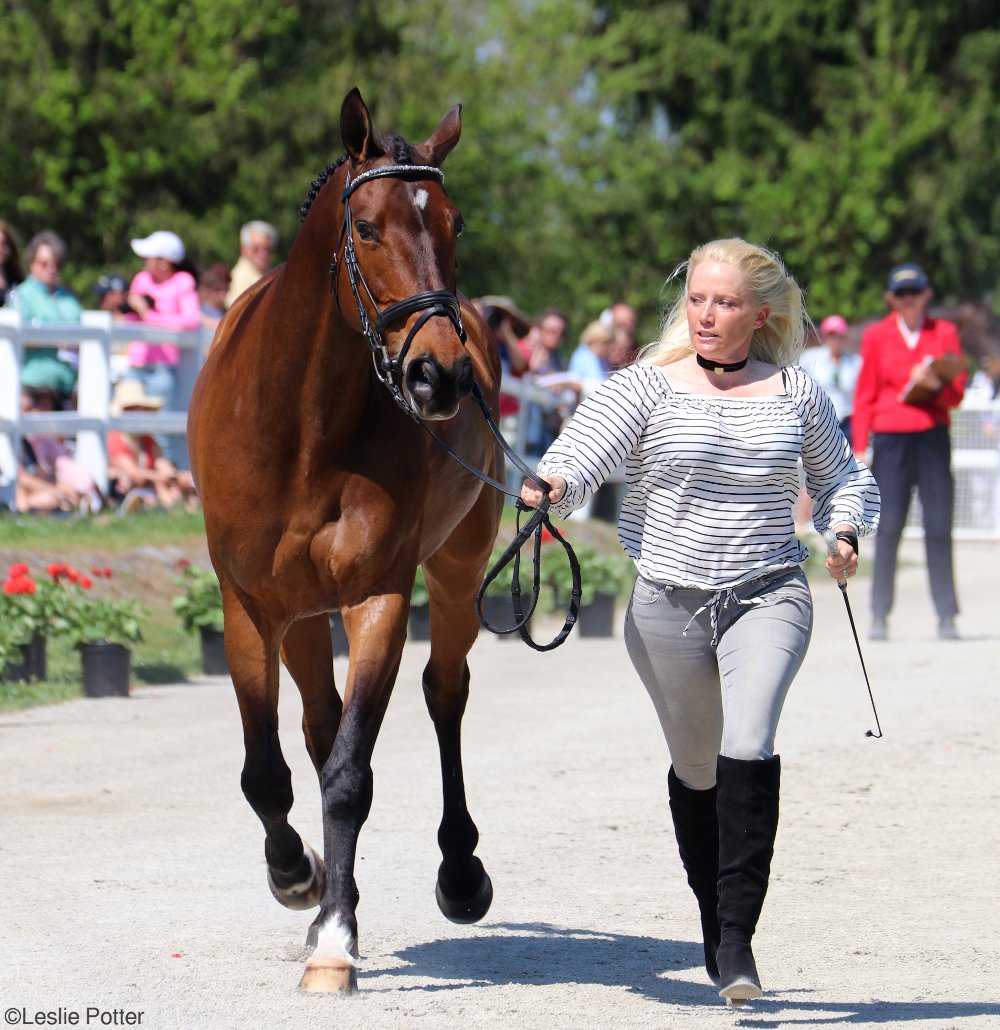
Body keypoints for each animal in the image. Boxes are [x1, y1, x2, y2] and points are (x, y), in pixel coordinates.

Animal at [186, 92, 504, 992]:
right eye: (365, 226)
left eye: (455, 223)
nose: (441, 375)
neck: (301, 423)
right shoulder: (249, 606)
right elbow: (269, 771)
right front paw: (300, 878)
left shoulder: (379, 597)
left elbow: (349, 778)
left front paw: (335, 940)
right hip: (298, 615)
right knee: (318, 727)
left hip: (458, 572)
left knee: (444, 692)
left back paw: (459, 872)